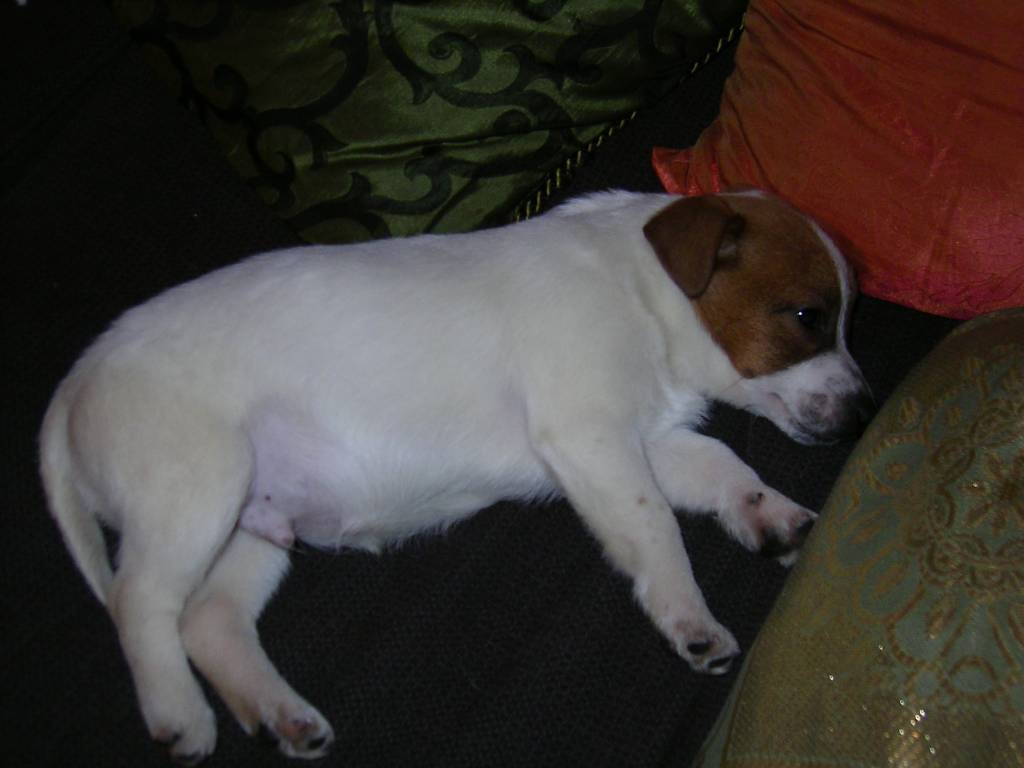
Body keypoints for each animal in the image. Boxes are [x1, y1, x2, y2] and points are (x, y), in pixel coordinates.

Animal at [40, 189, 871, 762]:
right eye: (808, 316)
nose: (863, 410)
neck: (644, 292)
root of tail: (75, 383)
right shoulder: (591, 435)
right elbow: (654, 526)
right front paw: (689, 618)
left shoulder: (646, 438)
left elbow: (721, 465)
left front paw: (768, 513)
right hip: (196, 488)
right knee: (139, 599)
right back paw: (180, 714)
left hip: (253, 522)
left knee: (207, 619)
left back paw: (281, 714)